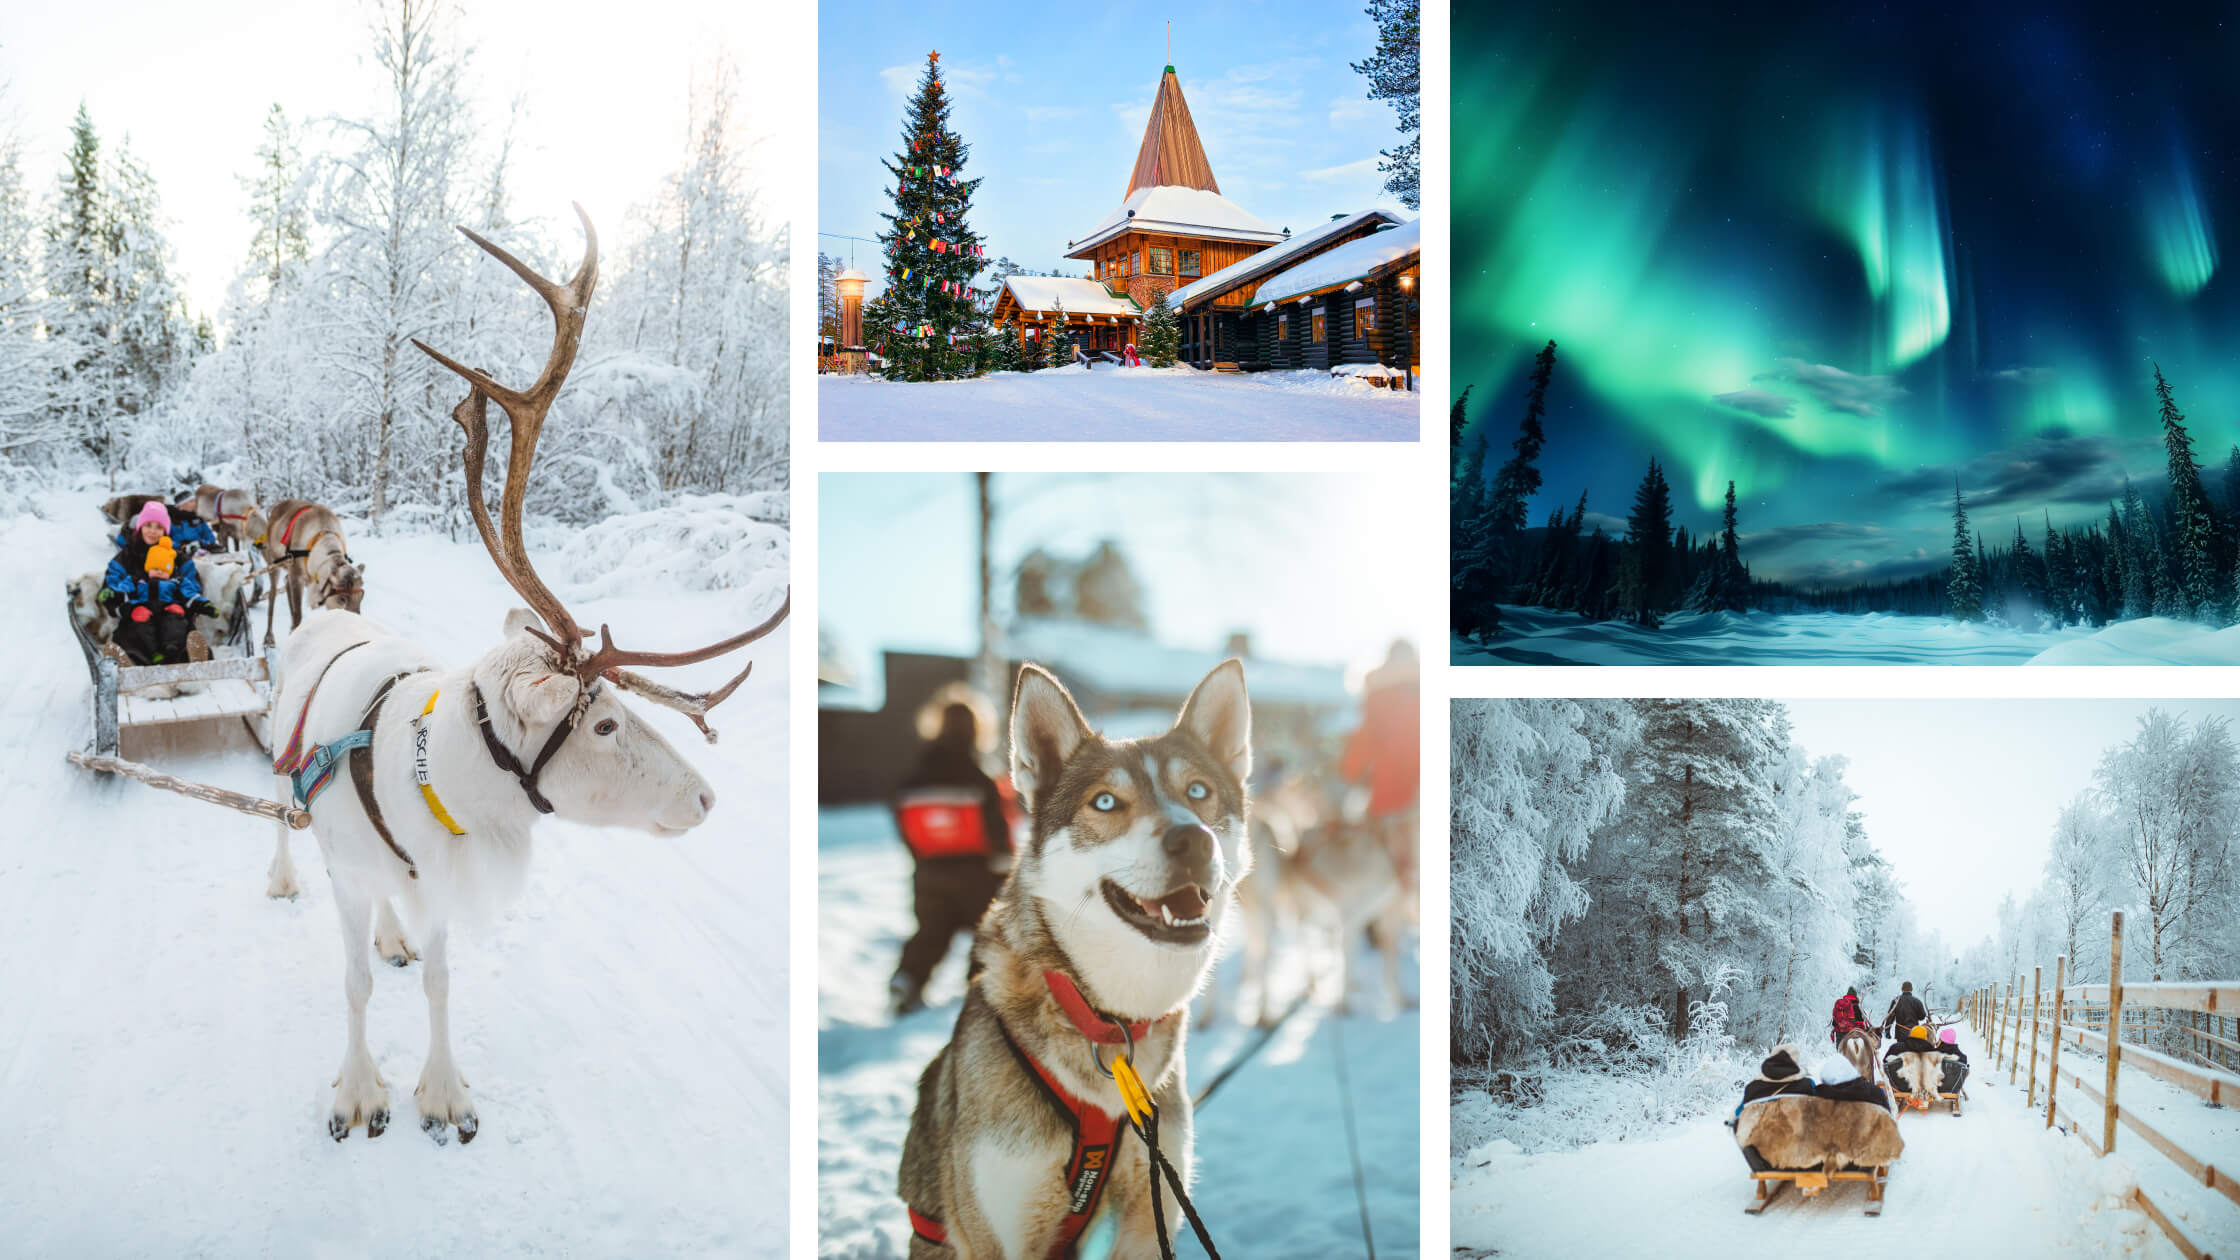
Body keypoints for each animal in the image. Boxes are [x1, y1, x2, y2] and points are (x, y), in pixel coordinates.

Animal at [896, 659, 1254, 1255]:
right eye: (1105, 802)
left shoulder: (1146, 1217)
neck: (1106, 1018)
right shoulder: (1005, 1232)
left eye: (1199, 791)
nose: (1193, 839)